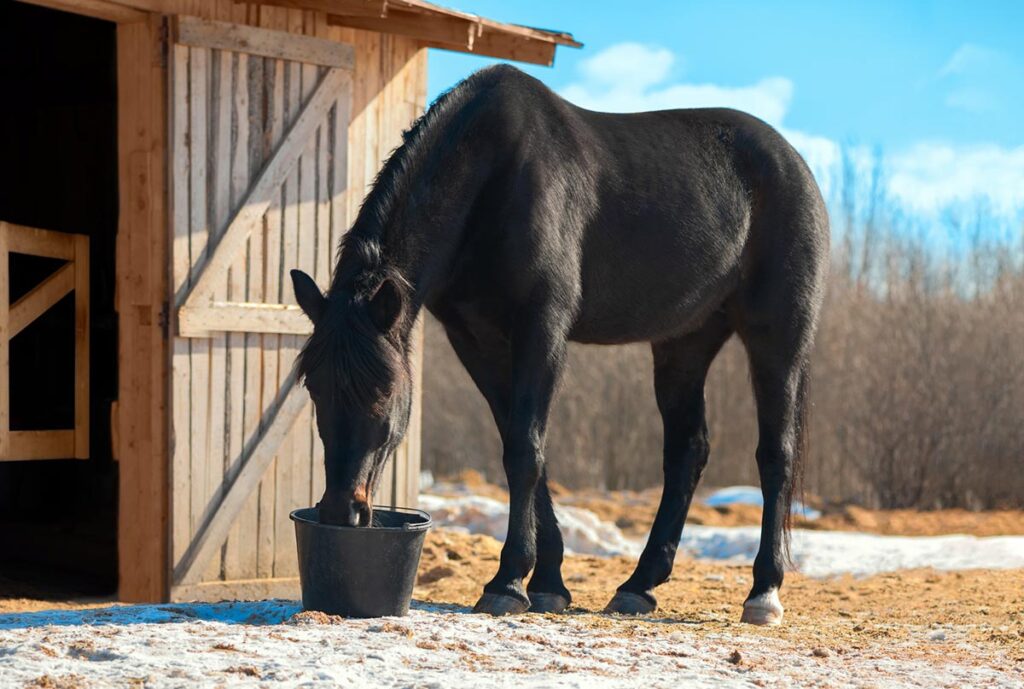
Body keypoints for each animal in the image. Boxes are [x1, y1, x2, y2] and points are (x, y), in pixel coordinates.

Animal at [290, 64, 831, 622]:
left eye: (383, 391)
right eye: (313, 388)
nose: (341, 511)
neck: (493, 176)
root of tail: (794, 164)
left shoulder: (542, 328)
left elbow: (525, 449)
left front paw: (507, 583)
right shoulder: (476, 341)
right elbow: (525, 448)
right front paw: (547, 582)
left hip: (778, 335)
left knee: (776, 453)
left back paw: (763, 592)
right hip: (684, 343)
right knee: (688, 450)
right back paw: (638, 586)